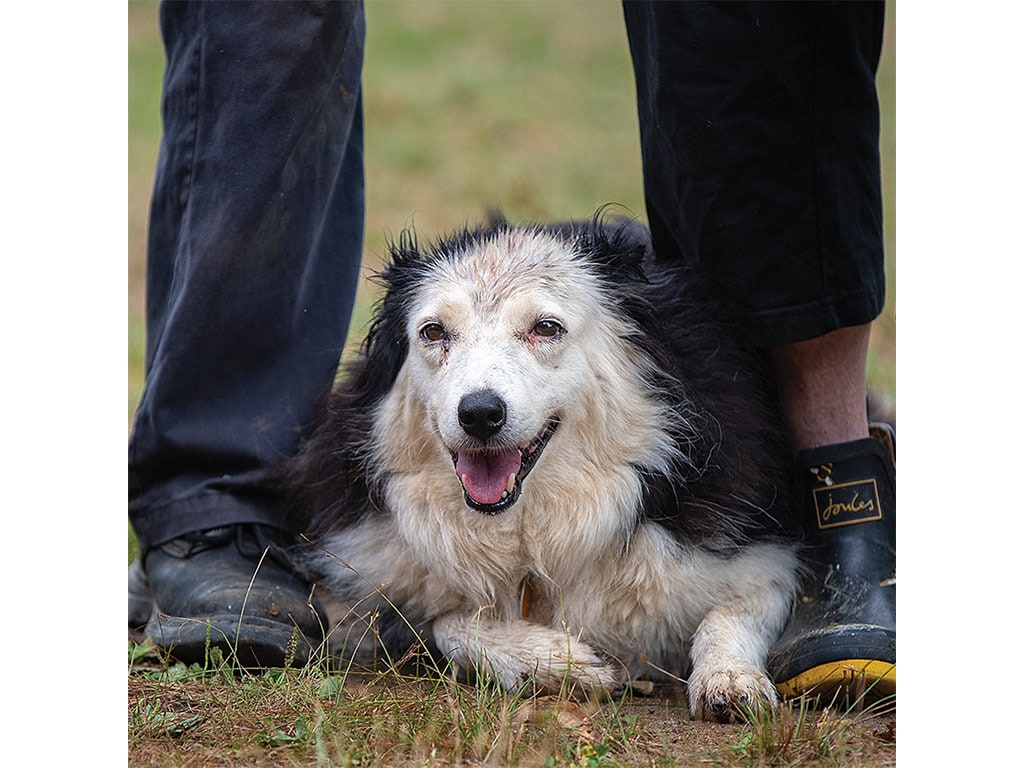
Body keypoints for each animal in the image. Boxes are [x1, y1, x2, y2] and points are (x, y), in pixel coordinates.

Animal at [284, 215, 802, 720]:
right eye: (433, 332)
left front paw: (730, 678)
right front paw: (558, 661)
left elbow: (732, 611)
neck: (528, 532)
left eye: (546, 328)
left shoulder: (762, 558)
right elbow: (450, 624)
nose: (479, 414)